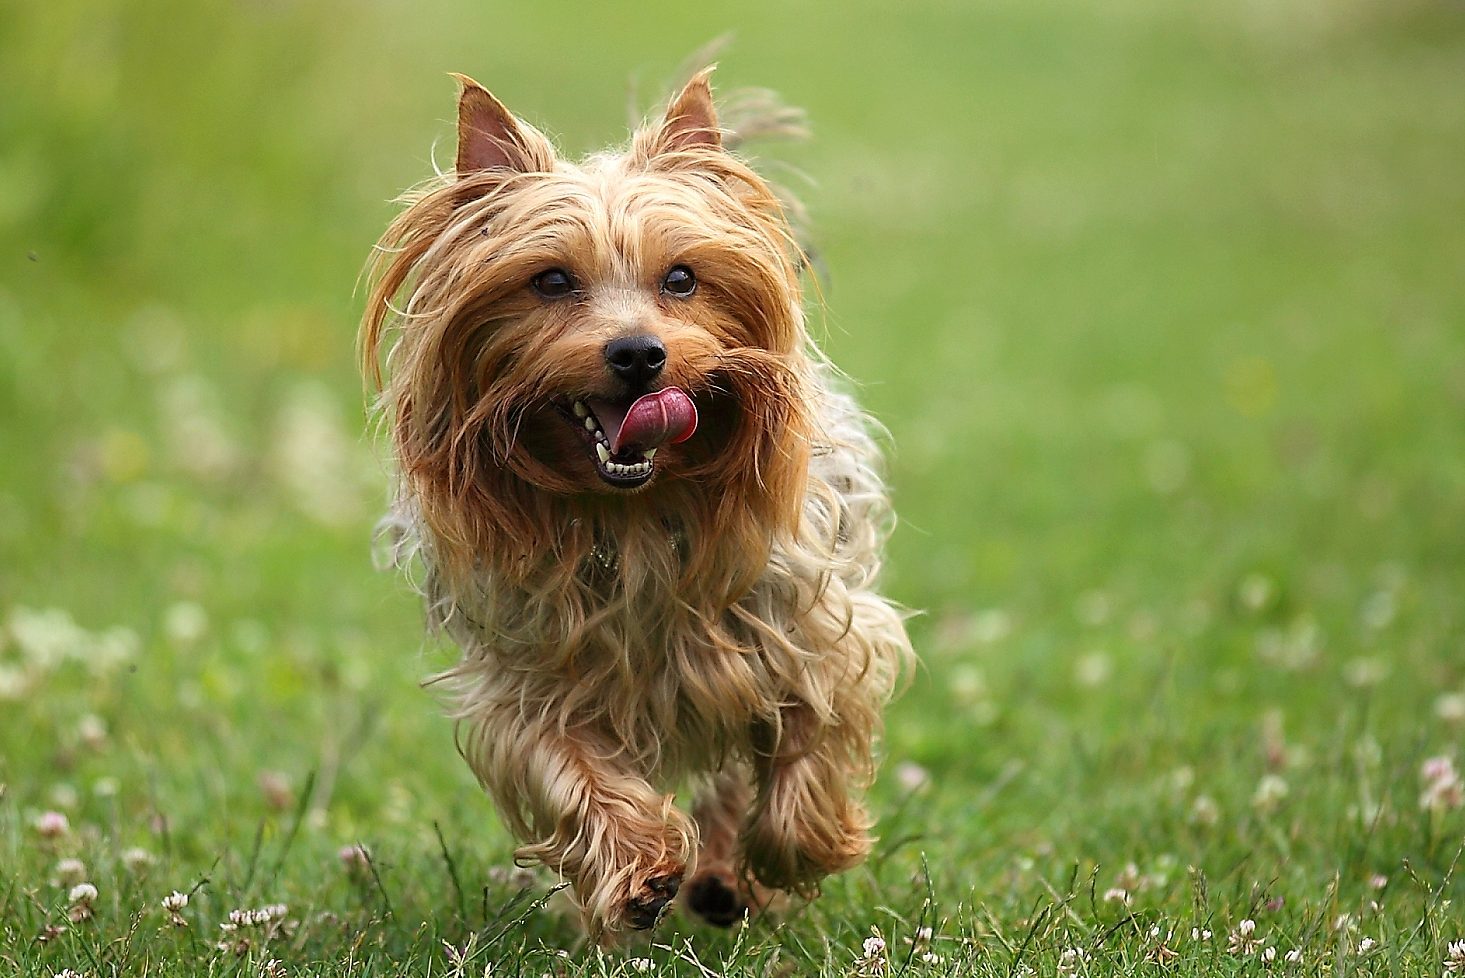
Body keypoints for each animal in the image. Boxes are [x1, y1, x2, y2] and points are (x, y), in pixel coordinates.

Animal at [360, 66, 908, 937]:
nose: (639, 353)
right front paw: (636, 870)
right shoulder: (532, 674)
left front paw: (798, 849)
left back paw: (729, 876)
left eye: (681, 278)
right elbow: (564, 764)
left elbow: (811, 731)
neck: (633, 511)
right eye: (551, 280)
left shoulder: (811, 625)